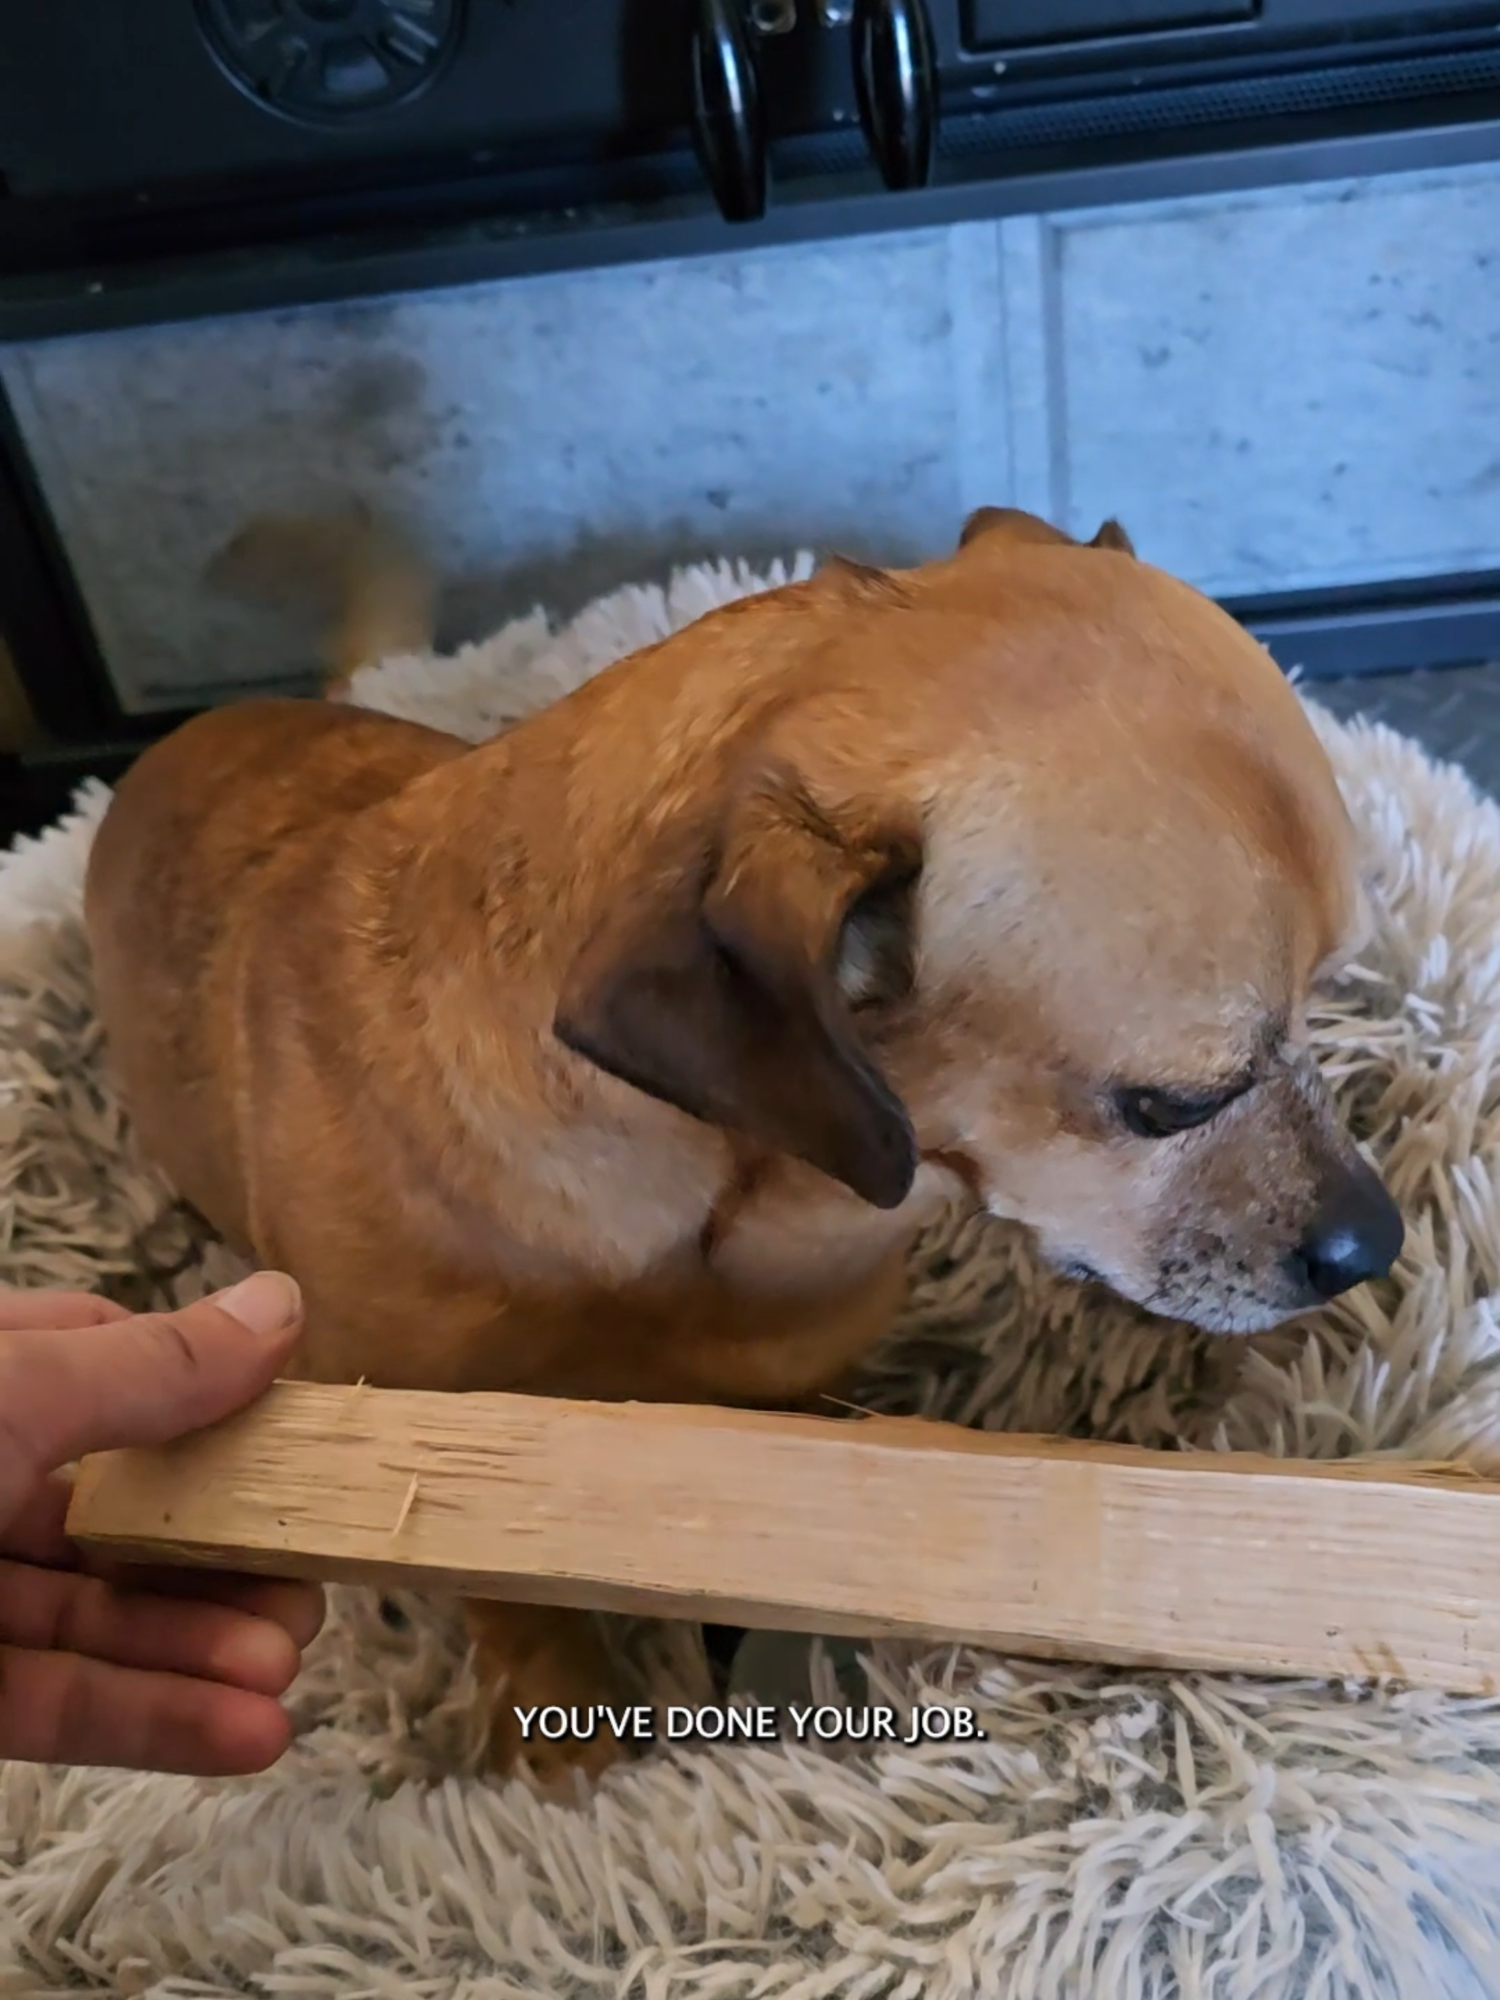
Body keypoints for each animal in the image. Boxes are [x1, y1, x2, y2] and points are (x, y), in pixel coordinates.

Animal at [85, 508, 1408, 1792]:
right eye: (1174, 1102)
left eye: (1331, 994)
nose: (1379, 1243)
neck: (718, 1221)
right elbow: (515, 1601)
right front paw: (560, 1735)